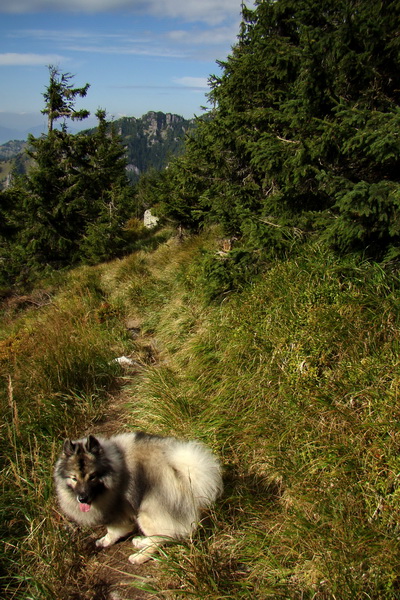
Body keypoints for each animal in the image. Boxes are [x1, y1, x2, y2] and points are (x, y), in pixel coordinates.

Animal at [53, 432, 222, 564]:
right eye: (74, 478)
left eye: (92, 476)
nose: (82, 498)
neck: (113, 467)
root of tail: (186, 475)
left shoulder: (117, 511)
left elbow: (113, 531)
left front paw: (105, 541)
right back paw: (141, 541)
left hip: (146, 514)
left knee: (161, 538)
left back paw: (139, 556)